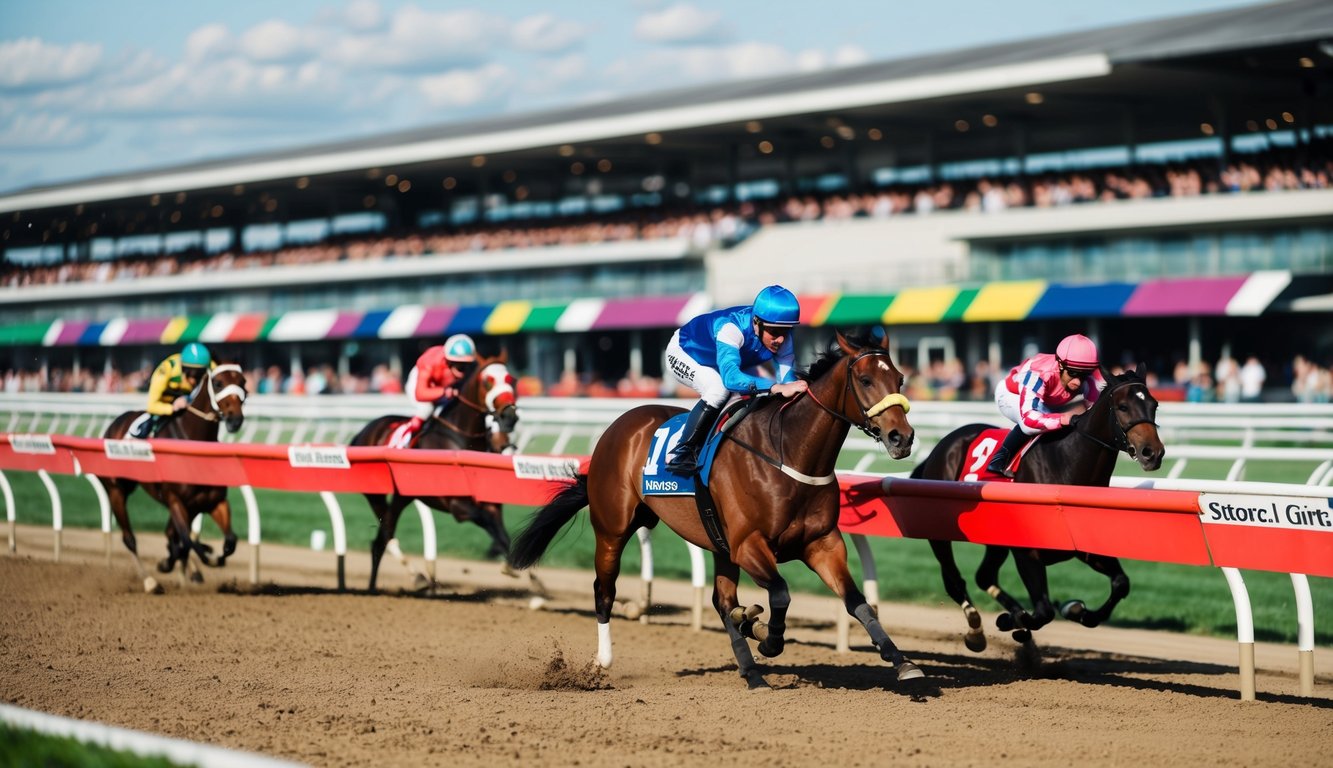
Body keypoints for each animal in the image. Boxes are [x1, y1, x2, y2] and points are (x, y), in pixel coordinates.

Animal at [99, 362, 249, 592]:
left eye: (243, 382)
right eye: (218, 382)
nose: (235, 419)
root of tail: (114, 423)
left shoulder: (213, 502)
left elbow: (229, 542)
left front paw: (192, 561)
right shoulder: (176, 501)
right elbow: (188, 541)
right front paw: (182, 560)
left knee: (171, 534)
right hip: (116, 490)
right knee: (130, 538)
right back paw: (150, 581)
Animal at [351, 352, 517, 592]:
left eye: (511, 379)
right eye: (488, 381)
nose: (510, 417)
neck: (459, 441)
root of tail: (362, 432)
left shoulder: (491, 503)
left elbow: (501, 531)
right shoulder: (457, 505)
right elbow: (485, 519)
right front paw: (498, 554)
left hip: (402, 497)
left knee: (382, 539)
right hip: (376, 495)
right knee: (385, 537)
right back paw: (405, 580)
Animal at [509, 330, 927, 688]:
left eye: (900, 379)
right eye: (866, 380)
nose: (902, 438)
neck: (789, 453)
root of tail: (618, 426)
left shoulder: (822, 544)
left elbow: (858, 601)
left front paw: (901, 660)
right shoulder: (748, 544)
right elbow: (781, 592)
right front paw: (769, 640)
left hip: (717, 542)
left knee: (723, 602)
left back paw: (752, 667)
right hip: (613, 527)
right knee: (604, 589)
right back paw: (604, 661)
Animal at [911, 365, 1162, 648]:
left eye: (1154, 405)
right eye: (1122, 406)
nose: (1152, 453)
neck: (1065, 465)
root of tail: (941, 448)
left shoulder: (1083, 548)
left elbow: (1121, 583)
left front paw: (1076, 610)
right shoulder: (1026, 552)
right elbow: (1043, 611)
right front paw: (1012, 621)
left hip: (996, 540)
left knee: (984, 576)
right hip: (939, 534)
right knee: (955, 580)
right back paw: (977, 630)